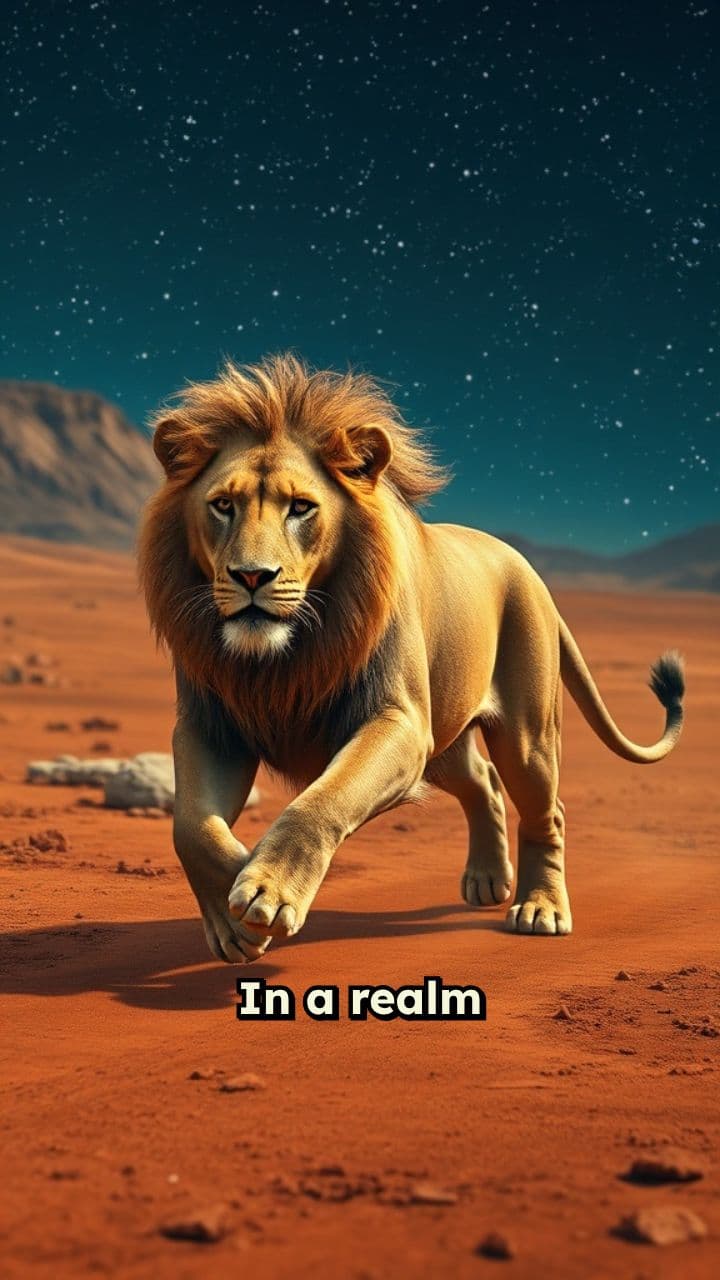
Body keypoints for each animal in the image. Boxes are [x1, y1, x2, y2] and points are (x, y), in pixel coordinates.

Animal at [138, 353, 684, 962]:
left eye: (301, 508)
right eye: (222, 506)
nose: (252, 576)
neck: (282, 661)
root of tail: (526, 567)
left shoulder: (397, 721)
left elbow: (321, 801)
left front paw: (267, 890)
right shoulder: (211, 726)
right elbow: (191, 824)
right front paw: (233, 914)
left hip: (523, 735)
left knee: (546, 810)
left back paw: (541, 908)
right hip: (442, 736)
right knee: (483, 782)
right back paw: (488, 880)